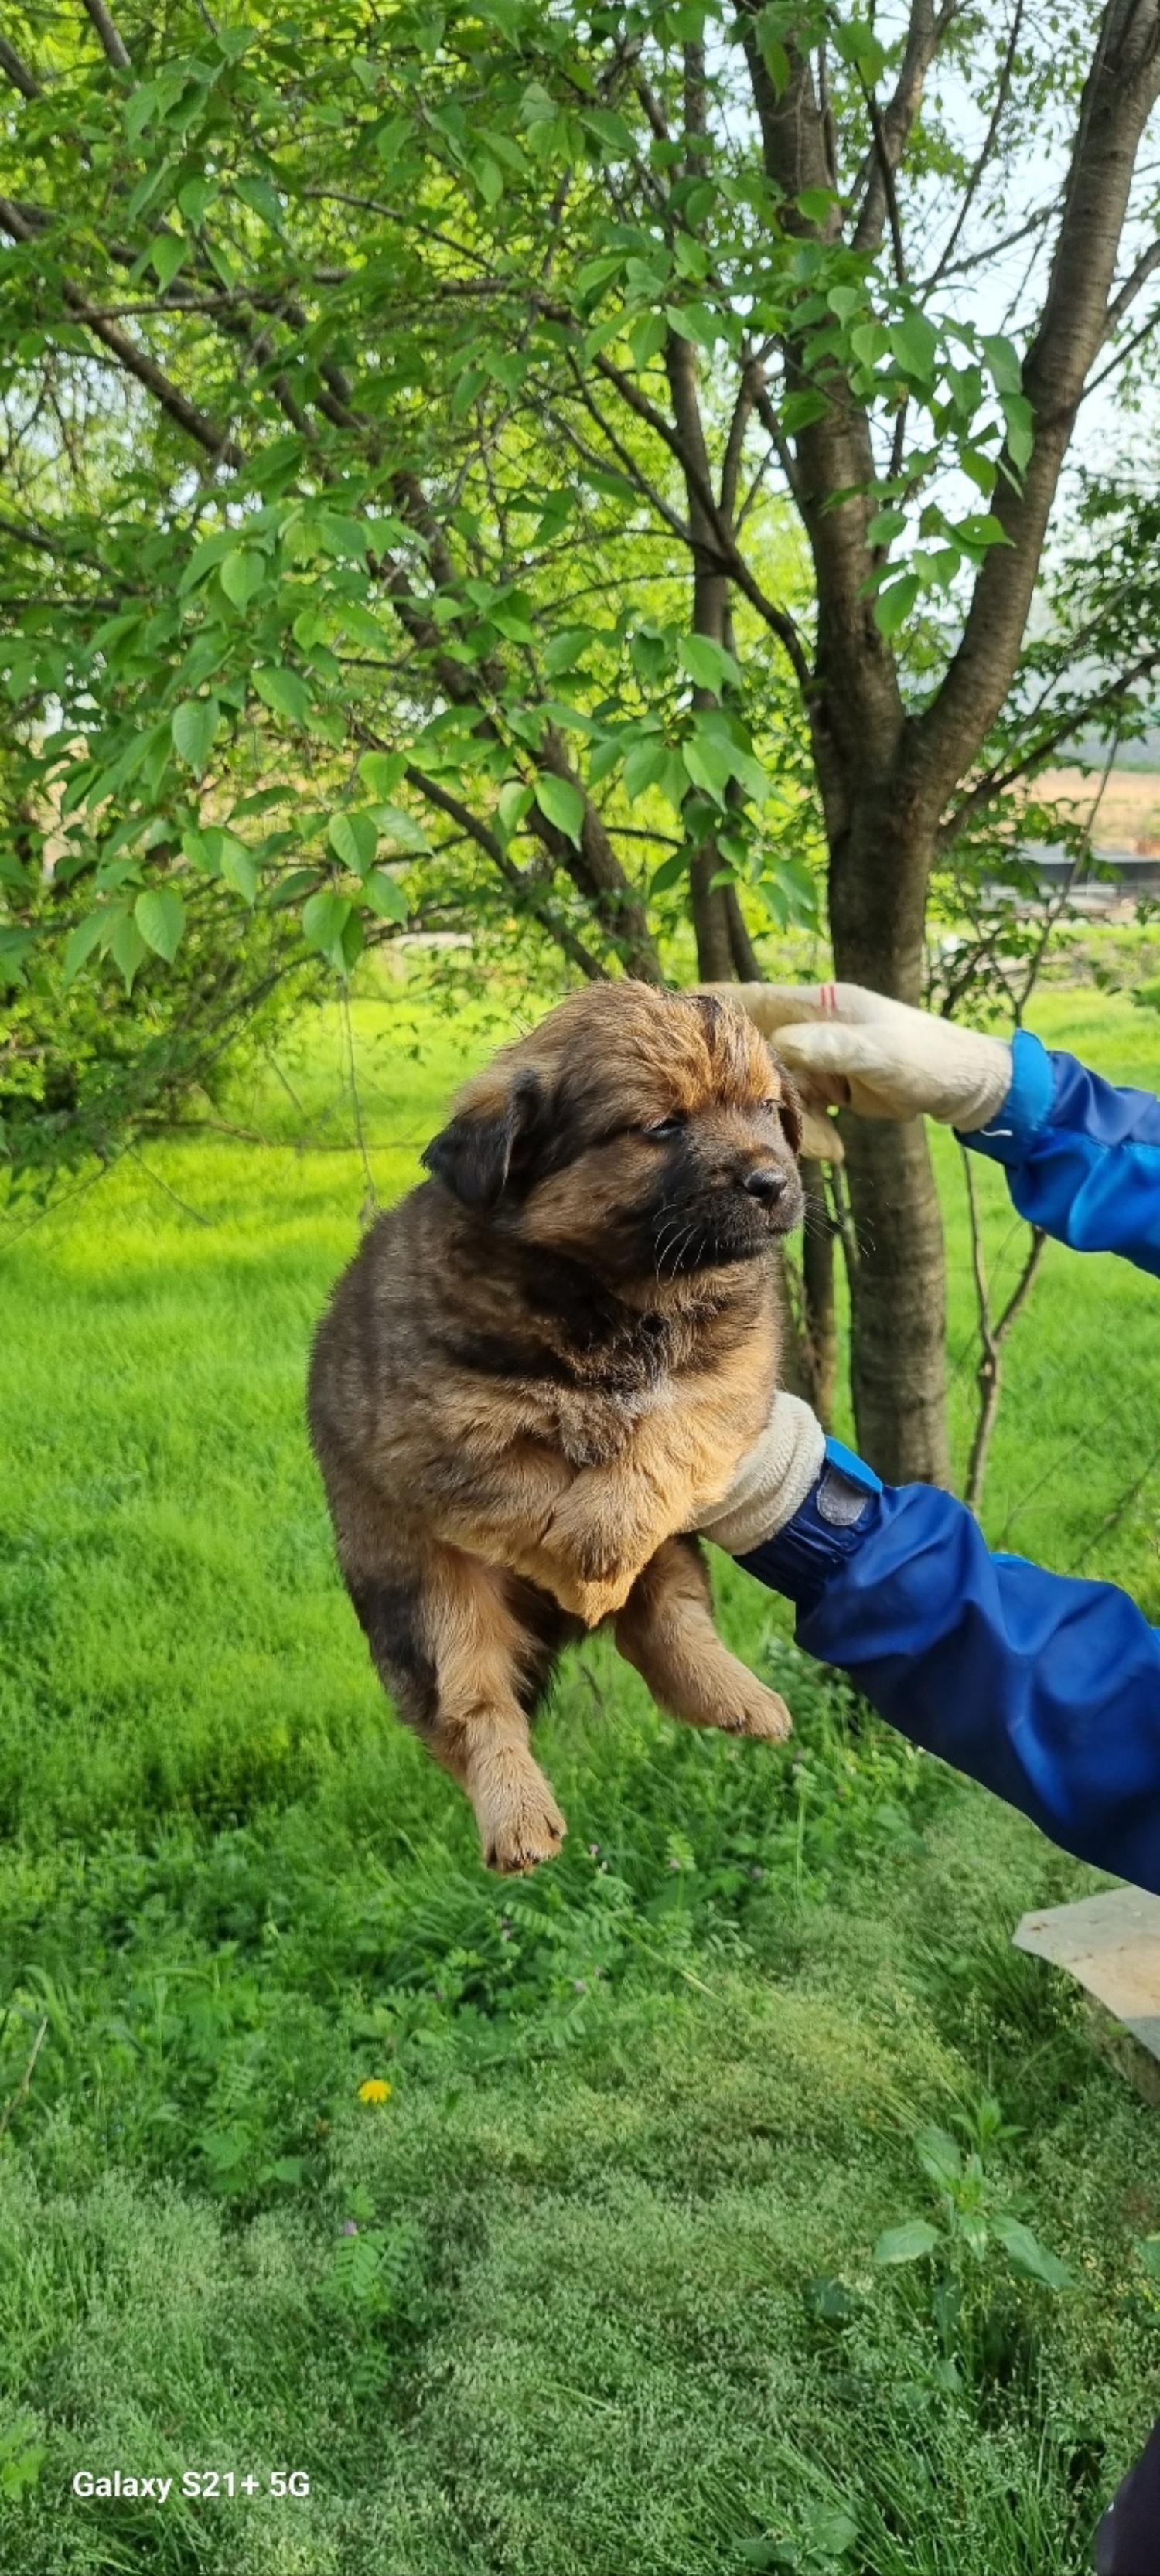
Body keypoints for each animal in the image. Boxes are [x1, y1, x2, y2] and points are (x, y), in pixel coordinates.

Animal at [308, 983, 804, 1875]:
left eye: (766, 1109)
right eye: (662, 1125)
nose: (774, 1182)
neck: (631, 1296)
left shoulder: (734, 1376)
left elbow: (670, 1433)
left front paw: (605, 1539)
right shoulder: (438, 1430)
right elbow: (532, 1485)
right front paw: (591, 1555)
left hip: (676, 1554)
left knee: (666, 1628)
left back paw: (739, 1700)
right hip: (426, 1600)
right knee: (472, 1711)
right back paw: (518, 1821)